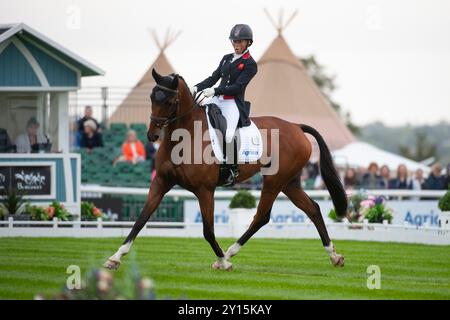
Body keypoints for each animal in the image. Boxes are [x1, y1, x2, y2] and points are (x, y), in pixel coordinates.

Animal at [103, 69, 346, 270]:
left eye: (171, 101)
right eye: (153, 98)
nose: (152, 135)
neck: (185, 136)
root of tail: (296, 126)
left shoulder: (205, 190)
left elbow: (208, 230)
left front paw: (222, 261)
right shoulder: (161, 181)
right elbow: (141, 219)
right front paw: (115, 257)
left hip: (274, 180)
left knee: (261, 216)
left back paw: (230, 253)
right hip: (290, 182)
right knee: (312, 209)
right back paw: (334, 255)